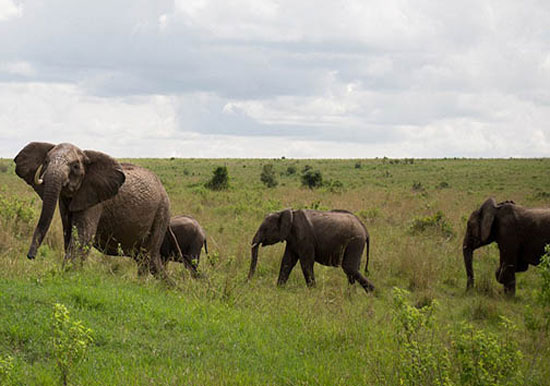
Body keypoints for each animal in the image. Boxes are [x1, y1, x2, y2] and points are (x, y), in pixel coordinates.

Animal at [14, 142, 170, 274]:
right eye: (46, 161)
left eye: (75, 166)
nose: (30, 256)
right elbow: (69, 235)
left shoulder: (94, 199)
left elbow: (82, 237)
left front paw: (67, 275)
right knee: (144, 260)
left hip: (162, 212)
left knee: (149, 258)